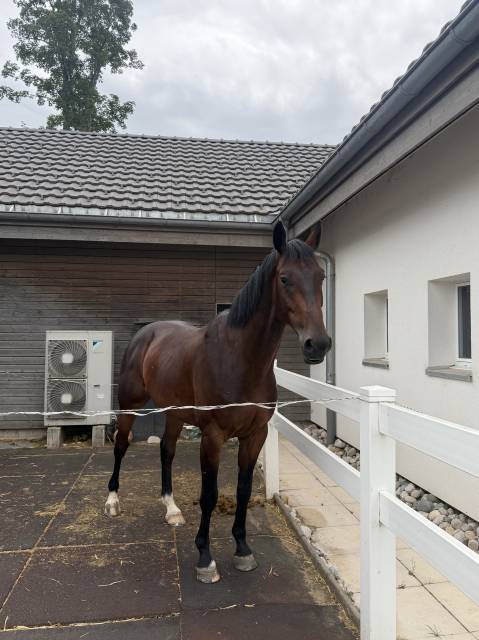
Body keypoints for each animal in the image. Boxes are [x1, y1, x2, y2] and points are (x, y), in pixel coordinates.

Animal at [104, 220, 331, 583]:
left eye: (320, 276)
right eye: (285, 278)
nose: (318, 344)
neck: (240, 359)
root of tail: (146, 332)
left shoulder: (255, 435)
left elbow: (243, 489)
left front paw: (242, 550)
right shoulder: (212, 436)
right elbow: (209, 495)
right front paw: (205, 558)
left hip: (175, 413)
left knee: (166, 451)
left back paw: (171, 509)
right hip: (130, 404)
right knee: (121, 444)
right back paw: (112, 501)